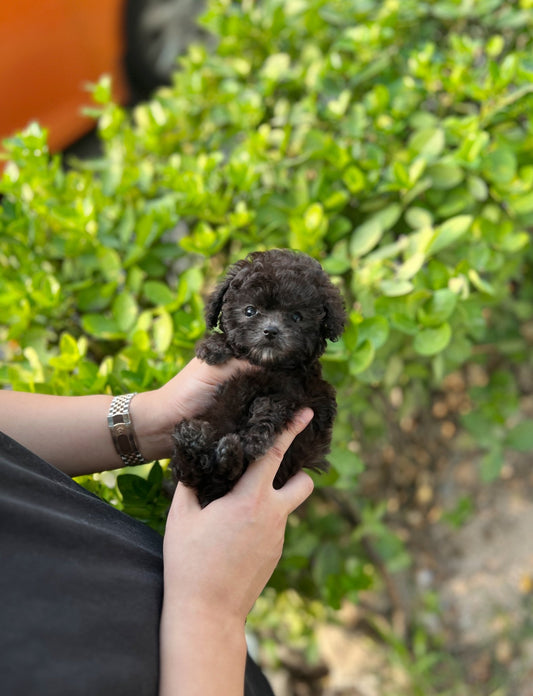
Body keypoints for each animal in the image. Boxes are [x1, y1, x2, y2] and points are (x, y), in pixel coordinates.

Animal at [170, 250, 344, 506]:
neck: (269, 364)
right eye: (250, 311)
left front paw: (253, 440)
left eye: (296, 316)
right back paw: (194, 439)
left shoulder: (303, 396)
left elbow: (271, 405)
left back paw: (225, 450)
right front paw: (214, 346)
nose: (270, 331)